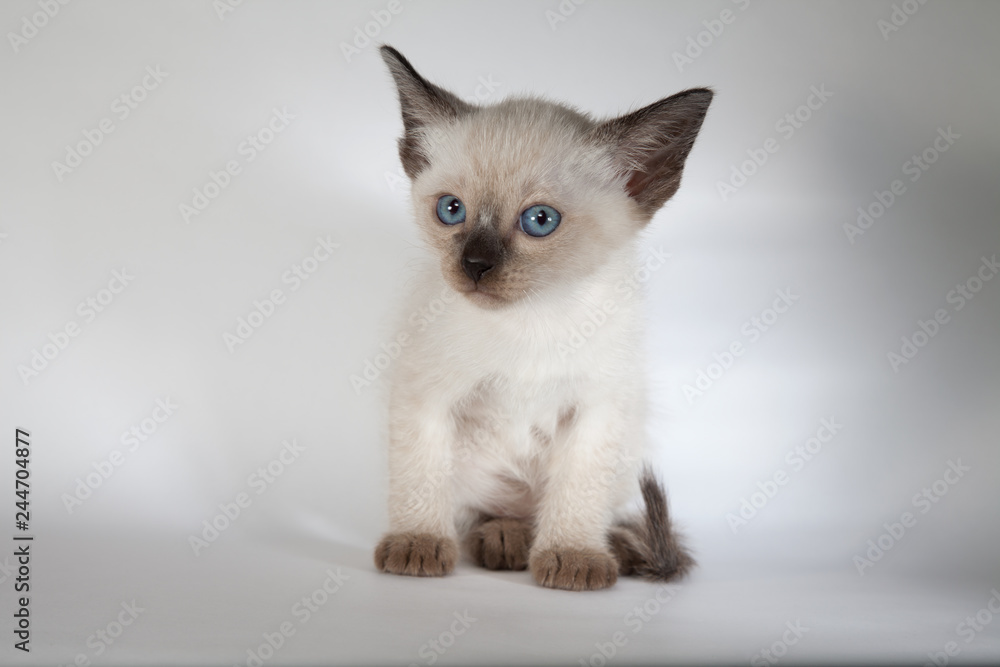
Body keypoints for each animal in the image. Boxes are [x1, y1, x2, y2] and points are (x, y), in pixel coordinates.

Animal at [374, 44, 712, 592]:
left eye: (539, 221)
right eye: (451, 210)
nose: (475, 265)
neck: (530, 319)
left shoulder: (597, 408)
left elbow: (577, 490)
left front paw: (573, 555)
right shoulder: (424, 394)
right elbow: (420, 477)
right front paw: (417, 543)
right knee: (488, 511)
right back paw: (503, 537)